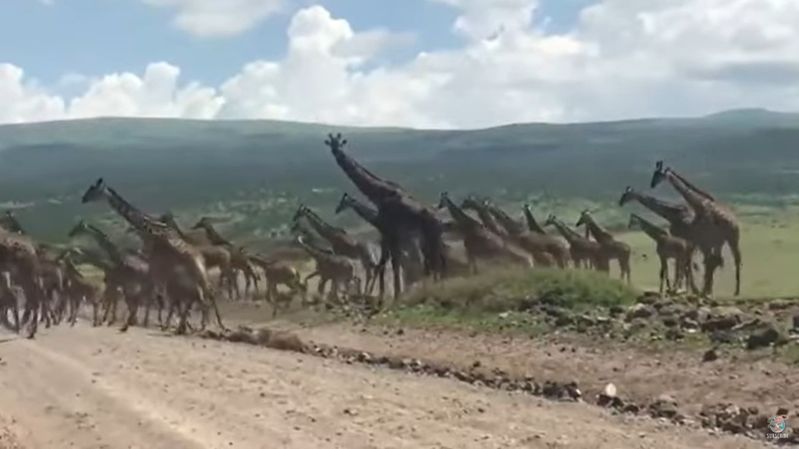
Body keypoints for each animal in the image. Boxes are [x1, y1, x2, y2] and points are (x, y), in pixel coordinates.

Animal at [81, 178, 223, 332]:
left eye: (92, 189)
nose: (83, 199)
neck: (151, 231)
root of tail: (200, 256)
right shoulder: (155, 264)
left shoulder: (154, 264)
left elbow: (152, 295)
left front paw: (130, 323)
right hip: (194, 275)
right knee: (203, 294)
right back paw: (201, 325)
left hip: (197, 272)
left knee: (206, 294)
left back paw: (208, 325)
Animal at [326, 132, 450, 298]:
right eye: (331, 144)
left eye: (339, 144)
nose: (336, 153)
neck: (379, 192)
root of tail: (439, 220)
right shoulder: (391, 235)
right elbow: (391, 263)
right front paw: (392, 294)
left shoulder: (387, 232)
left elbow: (387, 264)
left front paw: (388, 296)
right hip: (429, 239)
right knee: (433, 261)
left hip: (432, 237)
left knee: (434, 261)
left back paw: (434, 288)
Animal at [648, 163, 744, 296]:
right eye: (654, 173)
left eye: (658, 174)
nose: (652, 184)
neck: (698, 204)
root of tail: (735, 223)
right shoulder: (706, 242)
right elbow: (705, 263)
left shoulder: (705, 241)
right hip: (725, 241)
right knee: (717, 261)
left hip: (732, 239)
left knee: (731, 260)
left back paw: (733, 290)